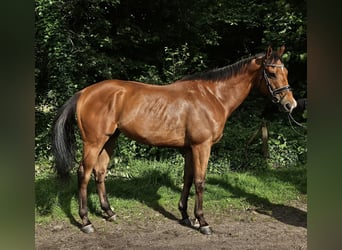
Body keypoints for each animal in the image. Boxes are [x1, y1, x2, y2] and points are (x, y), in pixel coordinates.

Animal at [50, 45, 296, 234]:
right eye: (271, 74)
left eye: (286, 71)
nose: (290, 104)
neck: (212, 96)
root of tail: (84, 93)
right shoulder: (201, 147)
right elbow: (200, 181)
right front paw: (202, 222)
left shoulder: (189, 149)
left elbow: (187, 179)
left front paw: (185, 216)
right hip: (94, 142)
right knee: (84, 173)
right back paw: (86, 221)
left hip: (109, 140)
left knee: (100, 173)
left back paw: (109, 212)